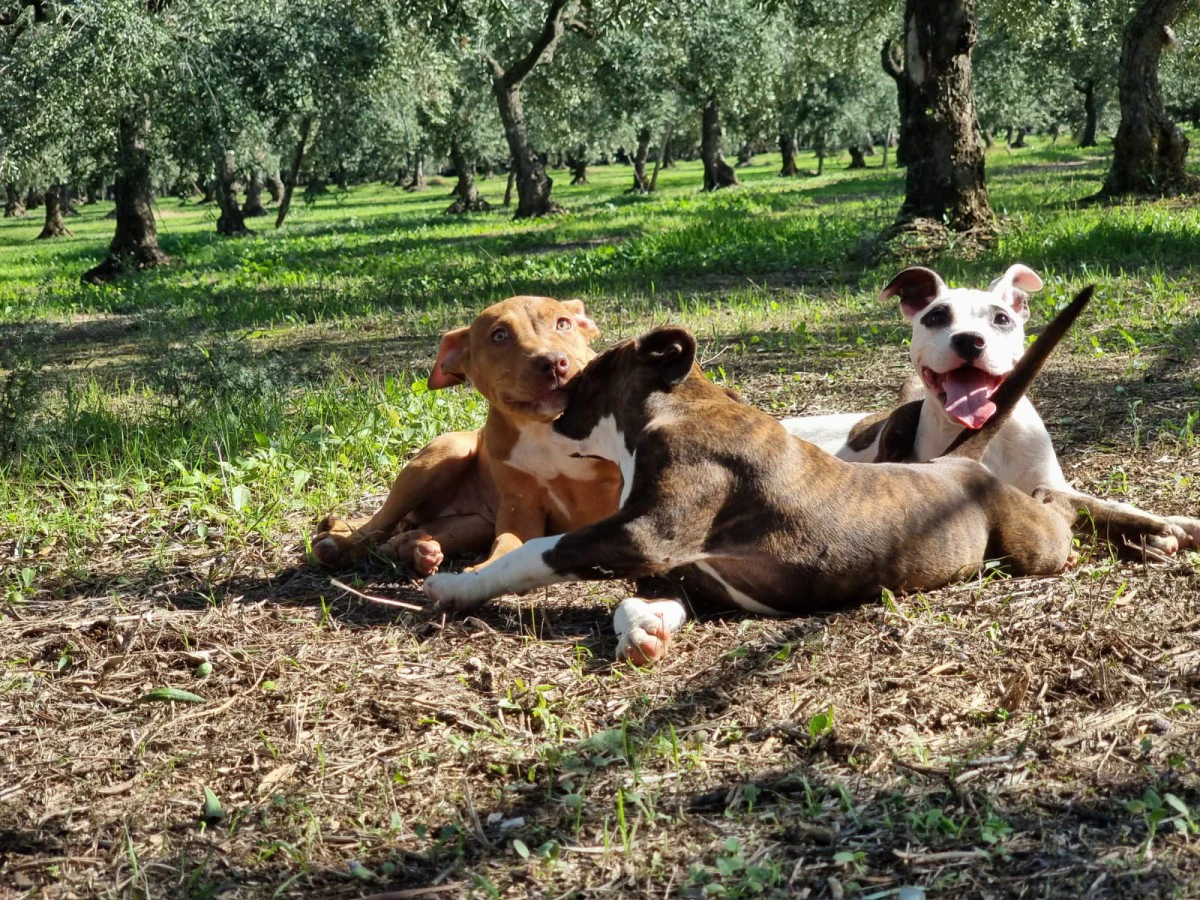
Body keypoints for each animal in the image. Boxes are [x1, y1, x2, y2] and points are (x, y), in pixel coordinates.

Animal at [314, 300, 619, 573]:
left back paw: (417, 548)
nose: (554, 362)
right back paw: (342, 546)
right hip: (443, 456)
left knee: (409, 534)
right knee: (379, 524)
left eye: (563, 323)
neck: (545, 429)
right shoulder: (520, 507)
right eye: (499, 336)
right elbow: (509, 542)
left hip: (473, 524)